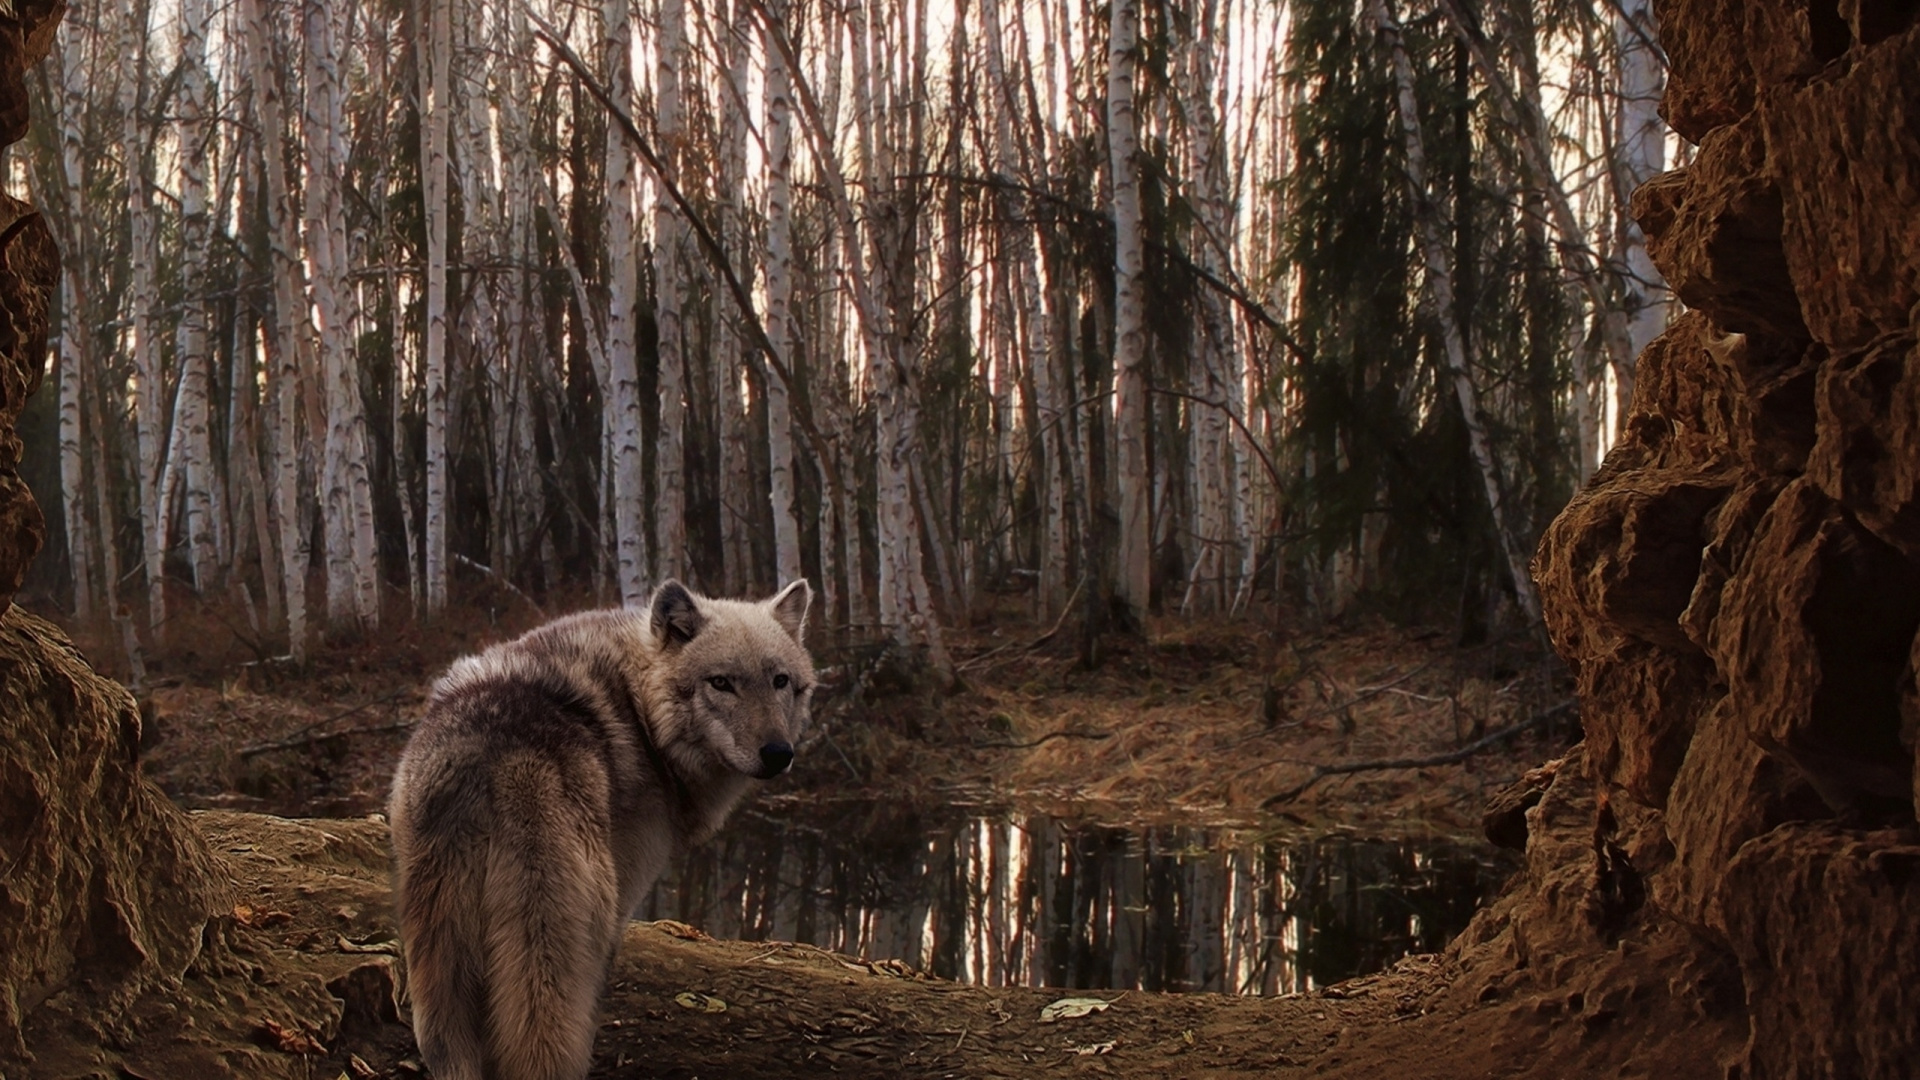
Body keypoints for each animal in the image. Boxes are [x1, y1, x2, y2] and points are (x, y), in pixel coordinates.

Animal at [387, 579, 814, 1080]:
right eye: (721, 683)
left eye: (780, 681)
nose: (778, 753)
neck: (641, 713)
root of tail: (497, 758)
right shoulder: (623, 898)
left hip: (439, 960)